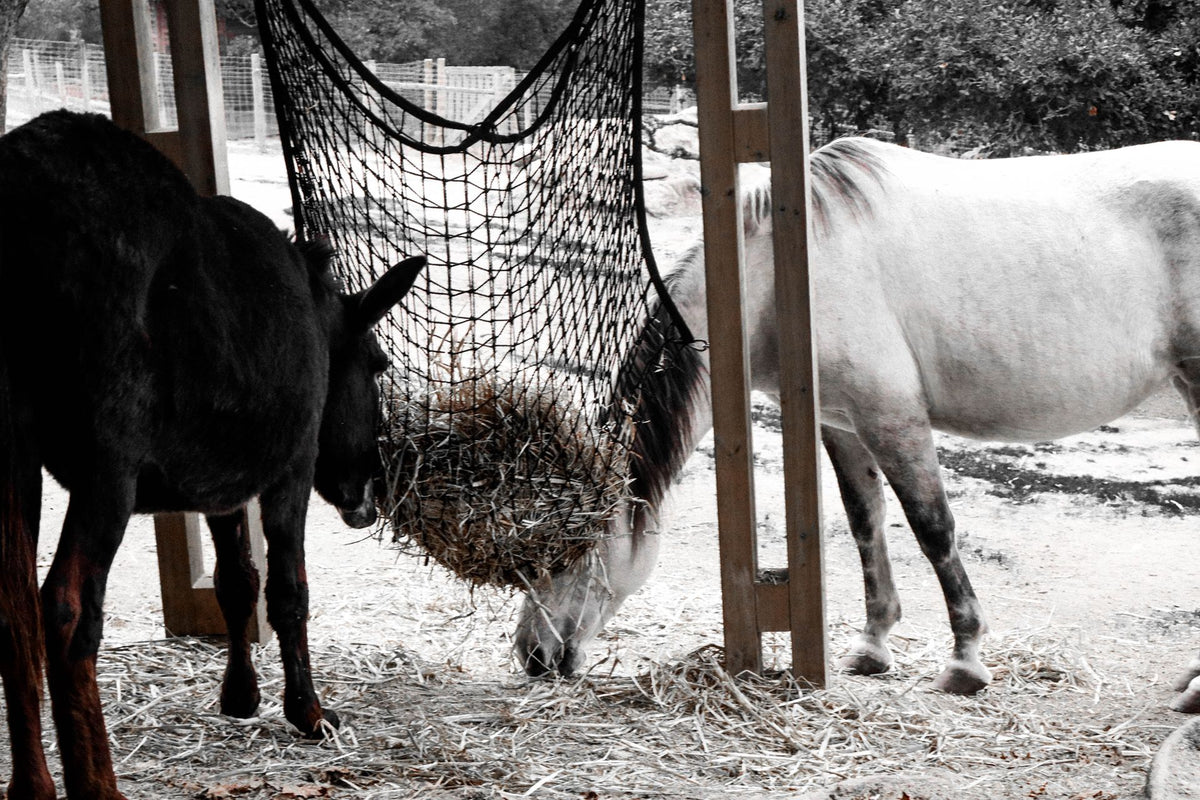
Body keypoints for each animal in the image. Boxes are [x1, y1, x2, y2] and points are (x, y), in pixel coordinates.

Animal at [0, 110, 424, 800]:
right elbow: (287, 590)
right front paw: (308, 710)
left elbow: (235, 580)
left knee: (10, 608)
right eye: (379, 362)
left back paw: (31, 786)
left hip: (12, 455)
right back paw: (99, 784)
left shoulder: (220, 482)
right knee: (65, 607)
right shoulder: (290, 467)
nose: (368, 489)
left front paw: (240, 695)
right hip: (107, 461)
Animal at [515, 134, 1200, 715]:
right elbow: (865, 524)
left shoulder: (892, 418)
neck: (782, 276)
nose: (534, 656)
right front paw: (873, 647)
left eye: (570, 546)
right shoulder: (841, 425)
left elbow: (932, 528)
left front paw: (965, 660)